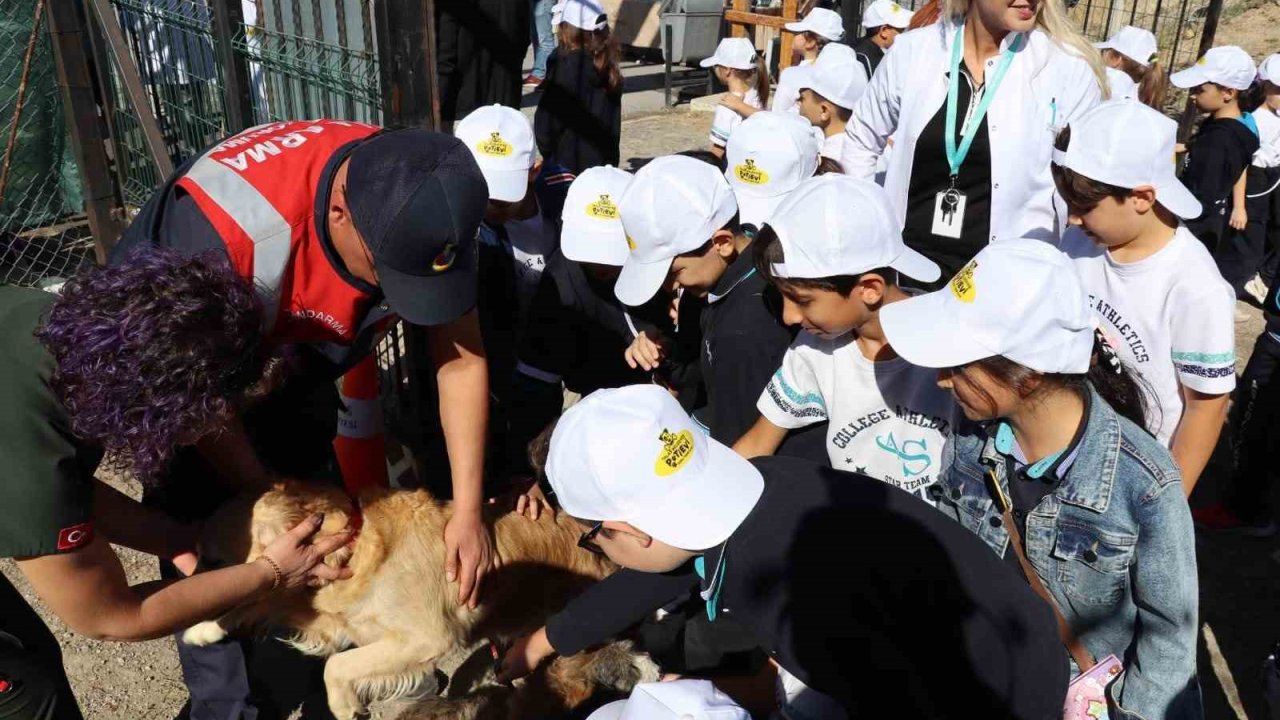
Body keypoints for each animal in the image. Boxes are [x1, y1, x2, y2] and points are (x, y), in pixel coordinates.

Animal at [183, 481, 616, 717]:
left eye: (214, 559)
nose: (187, 580)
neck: (358, 549)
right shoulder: (324, 613)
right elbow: (260, 601)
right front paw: (203, 629)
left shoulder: (426, 637)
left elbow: (336, 666)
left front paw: (344, 706)